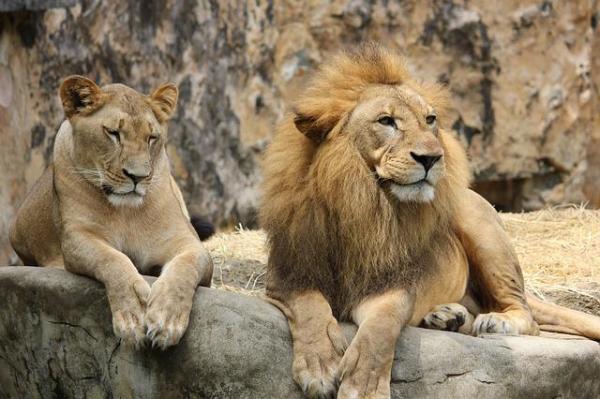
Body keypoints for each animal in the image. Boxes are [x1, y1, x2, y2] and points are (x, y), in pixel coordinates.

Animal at [8, 76, 213, 350]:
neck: (126, 212)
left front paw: (167, 319)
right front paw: (133, 314)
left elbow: (185, 267)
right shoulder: (76, 238)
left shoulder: (187, 241)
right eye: (113, 133)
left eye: (152, 137)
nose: (138, 177)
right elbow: (112, 259)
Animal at [262, 44, 600, 399]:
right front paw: (320, 366)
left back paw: (495, 321)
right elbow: (310, 307)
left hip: (479, 224)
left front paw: (363, 387)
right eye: (386, 121)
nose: (432, 158)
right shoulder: (289, 274)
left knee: (526, 315)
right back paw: (448, 316)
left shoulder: (393, 285)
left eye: (430, 120)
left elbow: (378, 333)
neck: (364, 204)